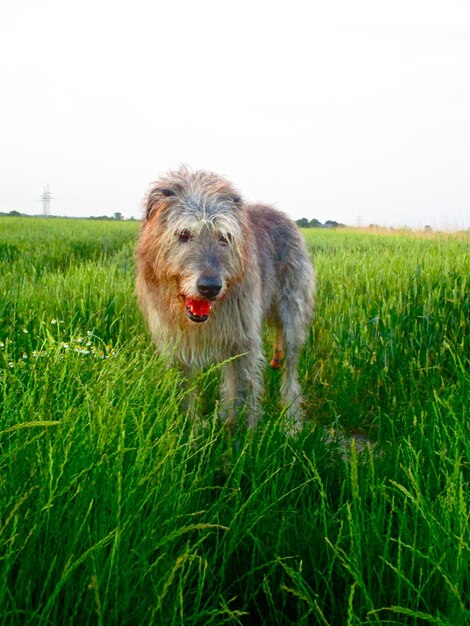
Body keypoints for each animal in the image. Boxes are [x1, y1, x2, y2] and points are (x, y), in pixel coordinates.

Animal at [134, 166, 314, 428]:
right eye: (184, 234)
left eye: (224, 237)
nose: (210, 287)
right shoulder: (175, 344)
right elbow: (184, 391)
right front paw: (187, 430)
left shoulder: (243, 337)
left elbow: (245, 387)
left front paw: (246, 433)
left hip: (292, 313)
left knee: (290, 369)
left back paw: (291, 422)